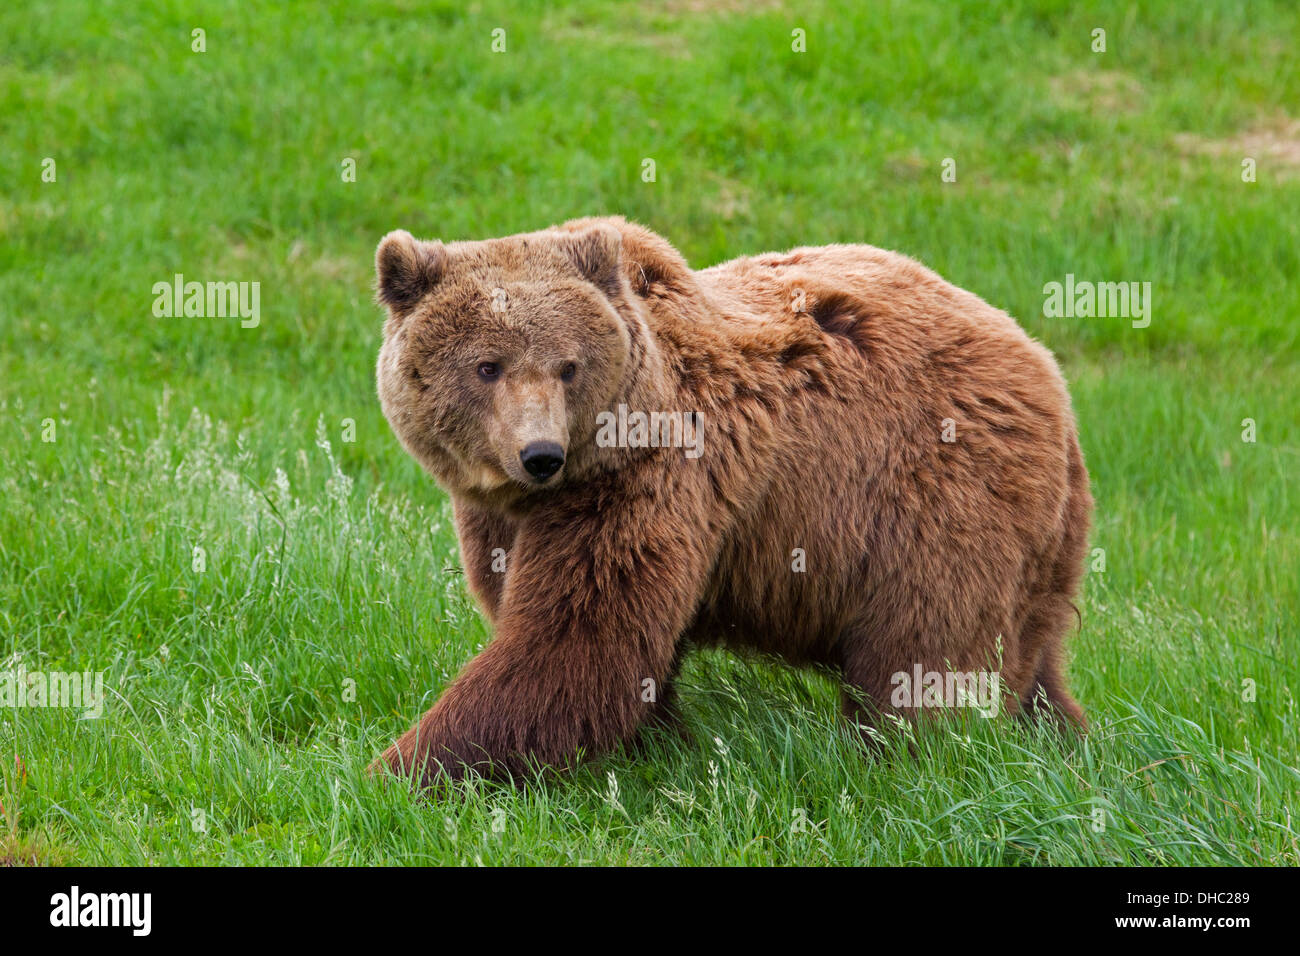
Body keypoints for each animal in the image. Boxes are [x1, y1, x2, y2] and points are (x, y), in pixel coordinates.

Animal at [371, 214, 1092, 785]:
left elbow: (570, 645)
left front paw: (395, 772)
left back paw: (902, 759)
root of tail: (1047, 372)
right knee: (1034, 657)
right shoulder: (502, 517)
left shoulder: (649, 479)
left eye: (567, 366)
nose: (539, 454)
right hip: (1037, 545)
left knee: (924, 657)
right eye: (486, 366)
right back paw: (1063, 738)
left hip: (939, 500)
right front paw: (662, 742)